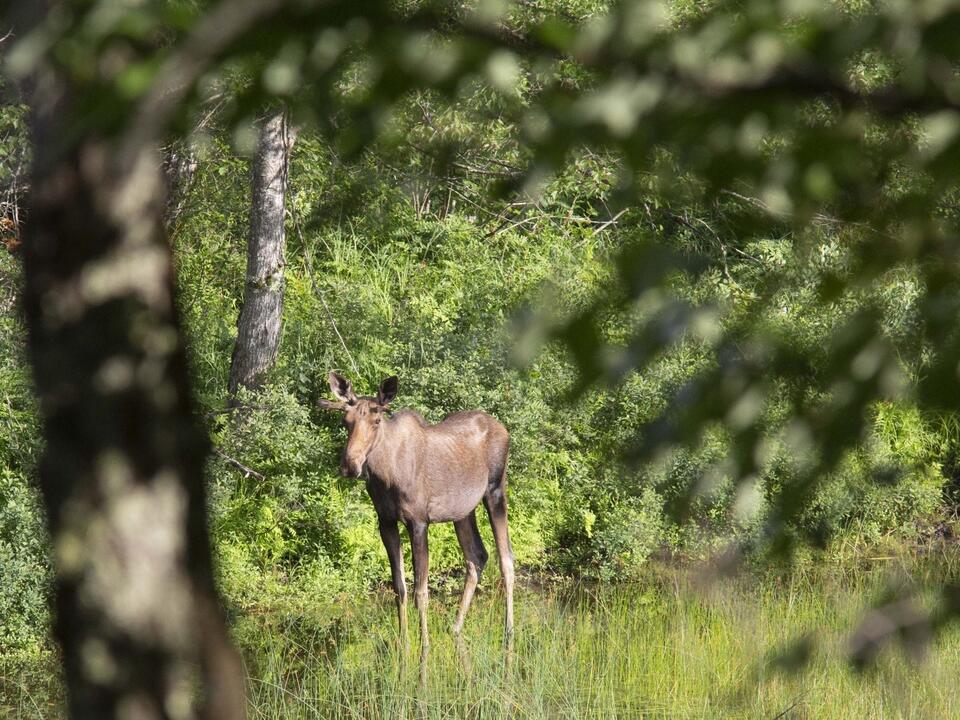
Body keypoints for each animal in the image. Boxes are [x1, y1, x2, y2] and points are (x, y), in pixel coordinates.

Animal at [319, 371, 515, 655]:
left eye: (377, 421)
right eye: (346, 421)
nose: (350, 465)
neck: (385, 476)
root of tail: (504, 429)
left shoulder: (419, 522)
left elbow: (421, 591)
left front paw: (425, 644)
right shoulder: (385, 522)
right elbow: (399, 586)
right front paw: (404, 641)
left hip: (495, 491)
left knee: (506, 559)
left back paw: (509, 631)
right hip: (463, 511)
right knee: (477, 556)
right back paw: (456, 627)